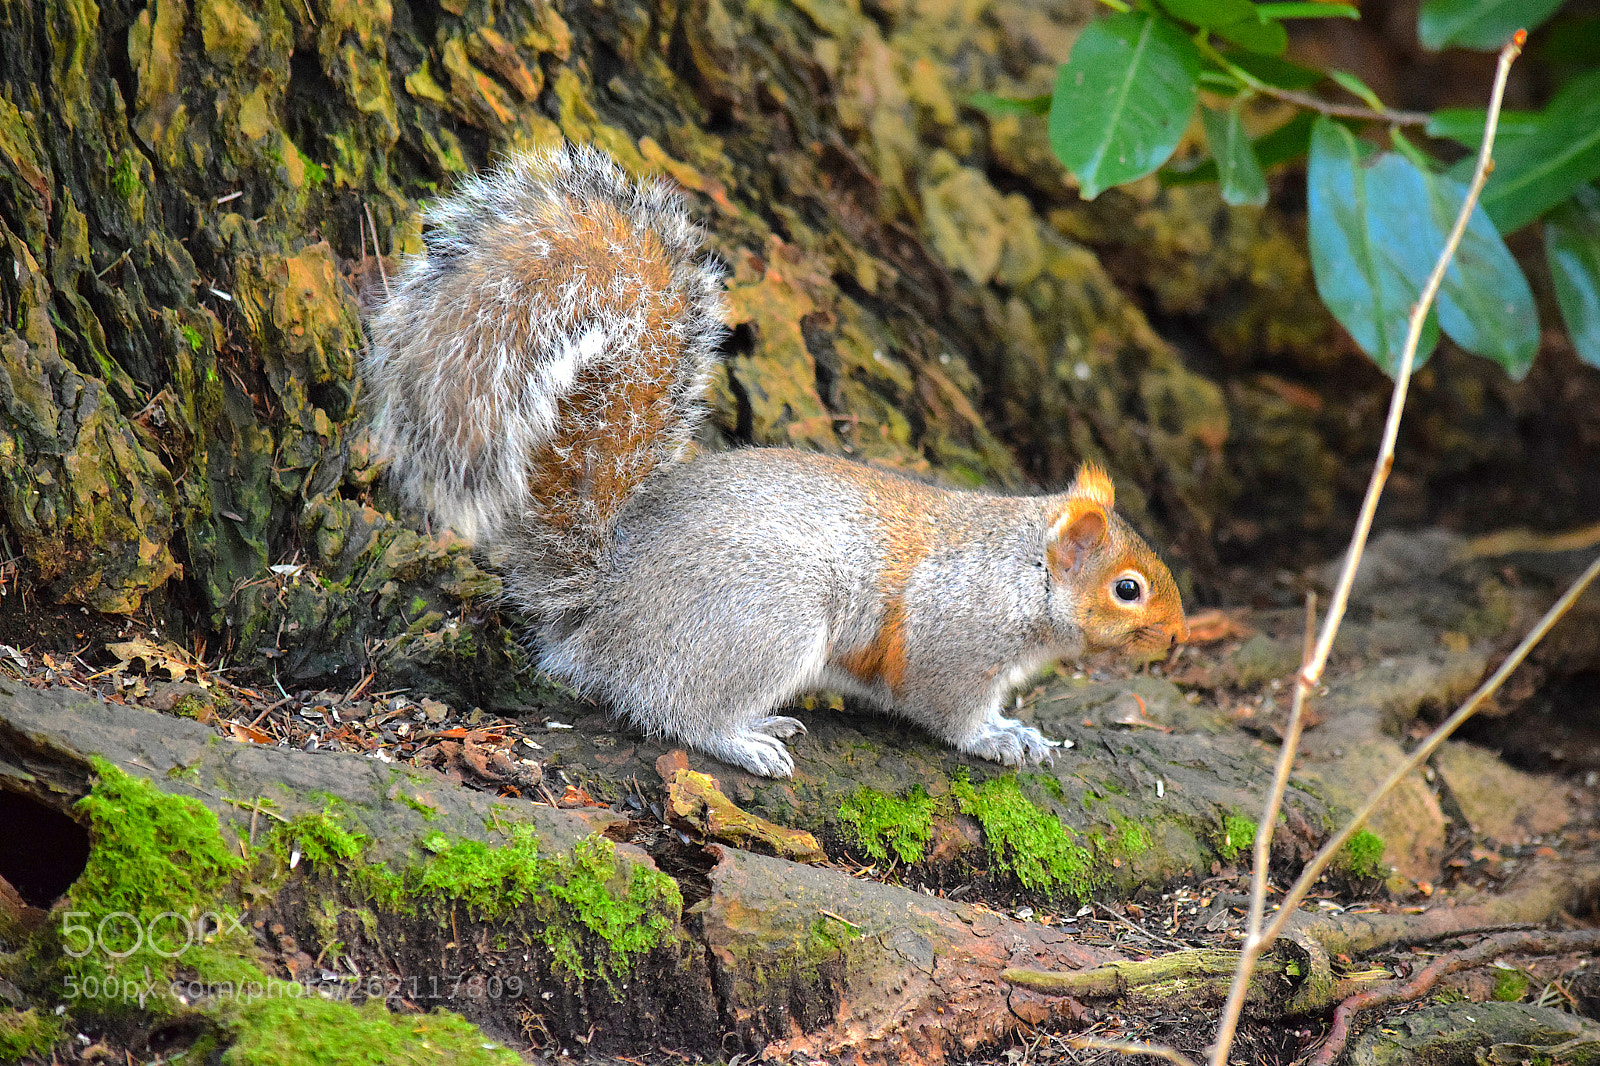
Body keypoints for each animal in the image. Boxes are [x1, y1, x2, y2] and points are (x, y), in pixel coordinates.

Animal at [365, 144, 1189, 779]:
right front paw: (998, 737)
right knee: (678, 708)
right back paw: (747, 740)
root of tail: (603, 605)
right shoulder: (953, 637)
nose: (1179, 638)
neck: (1022, 572)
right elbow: (948, 707)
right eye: (1128, 589)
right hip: (767, 618)